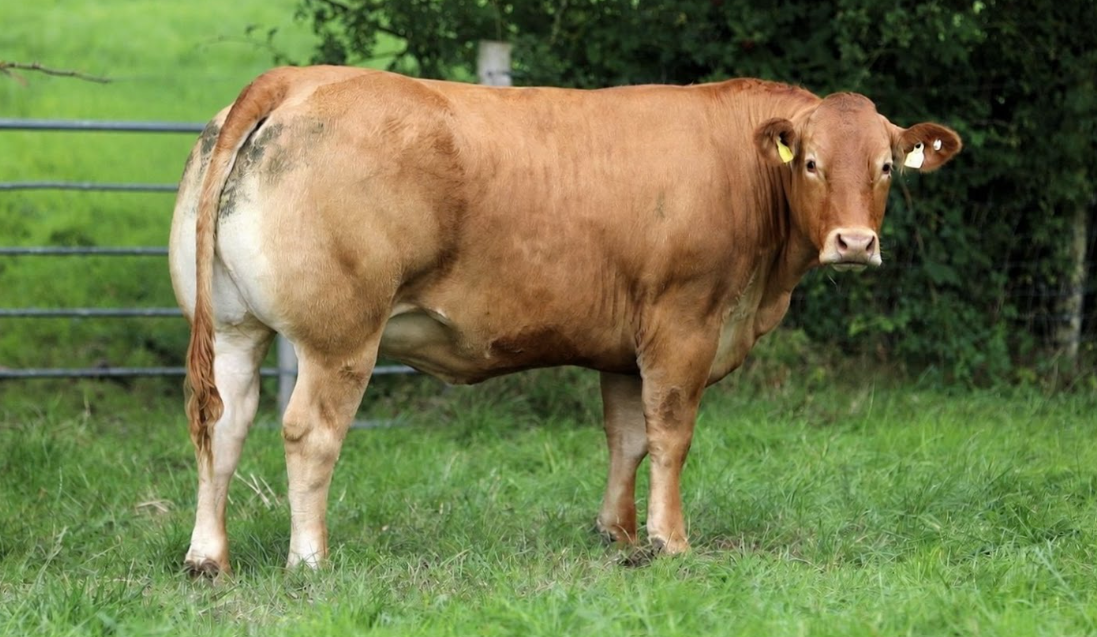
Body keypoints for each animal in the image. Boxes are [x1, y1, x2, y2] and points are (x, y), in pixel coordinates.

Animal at [169, 65, 961, 576]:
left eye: (886, 166)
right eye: (811, 162)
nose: (854, 243)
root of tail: (295, 79)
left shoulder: (624, 345)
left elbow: (626, 438)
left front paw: (617, 535)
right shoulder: (683, 324)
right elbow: (670, 434)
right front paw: (669, 541)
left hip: (236, 328)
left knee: (221, 425)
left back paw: (208, 557)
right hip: (340, 336)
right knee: (309, 433)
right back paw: (310, 559)